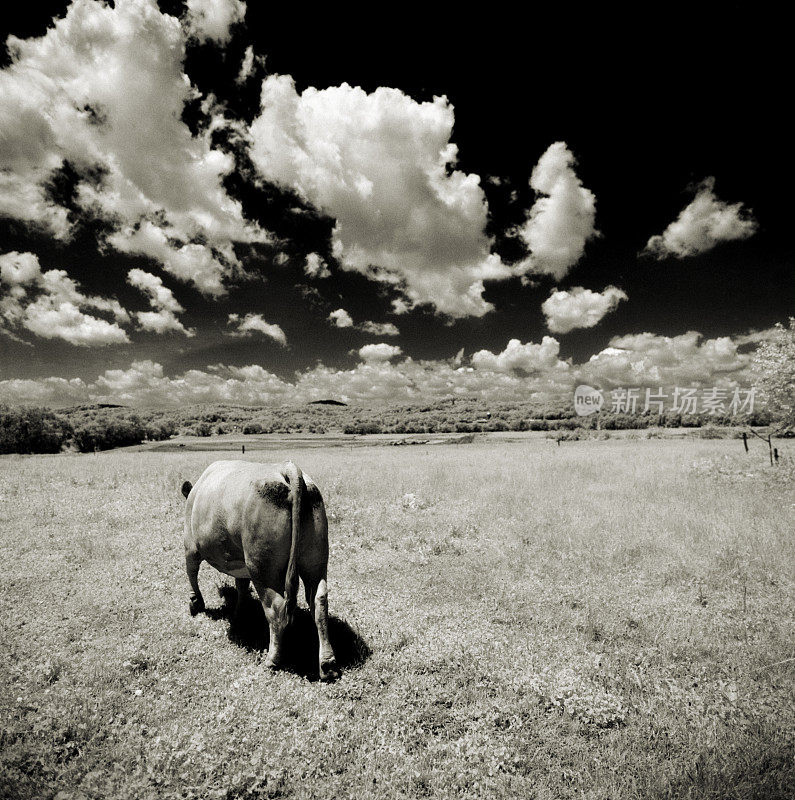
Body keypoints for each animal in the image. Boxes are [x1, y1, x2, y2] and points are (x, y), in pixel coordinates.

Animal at [183, 460, 338, 680]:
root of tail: (286, 468)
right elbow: (241, 585)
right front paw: (240, 612)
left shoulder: (190, 545)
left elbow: (191, 573)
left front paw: (196, 603)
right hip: (315, 560)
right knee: (319, 601)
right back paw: (327, 665)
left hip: (262, 568)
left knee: (276, 608)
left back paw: (272, 660)